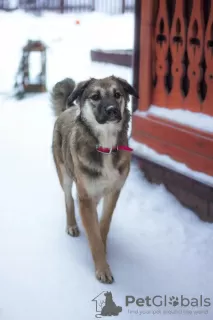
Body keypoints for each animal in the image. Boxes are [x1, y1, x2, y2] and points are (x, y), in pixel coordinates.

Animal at [51, 76, 139, 284]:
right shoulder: (86, 196)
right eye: (95, 96)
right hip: (65, 175)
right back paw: (72, 225)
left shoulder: (113, 192)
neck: (105, 145)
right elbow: (93, 234)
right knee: (69, 200)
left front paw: (103, 244)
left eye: (118, 94)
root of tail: (67, 109)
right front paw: (102, 268)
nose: (113, 110)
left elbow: (103, 225)